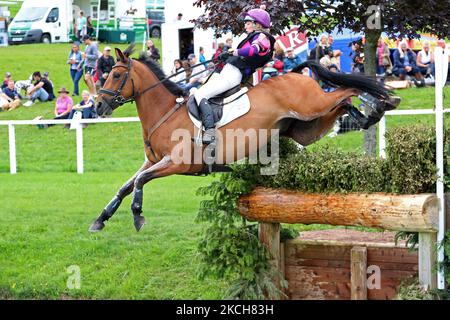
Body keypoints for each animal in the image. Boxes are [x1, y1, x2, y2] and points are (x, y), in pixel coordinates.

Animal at [89, 44, 400, 232]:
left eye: (115, 75)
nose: (99, 106)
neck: (165, 113)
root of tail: (294, 72)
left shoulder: (176, 164)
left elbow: (139, 182)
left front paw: (138, 215)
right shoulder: (152, 161)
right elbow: (126, 186)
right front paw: (101, 219)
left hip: (312, 105)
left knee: (346, 91)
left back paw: (382, 101)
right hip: (306, 127)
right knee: (341, 104)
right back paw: (368, 116)